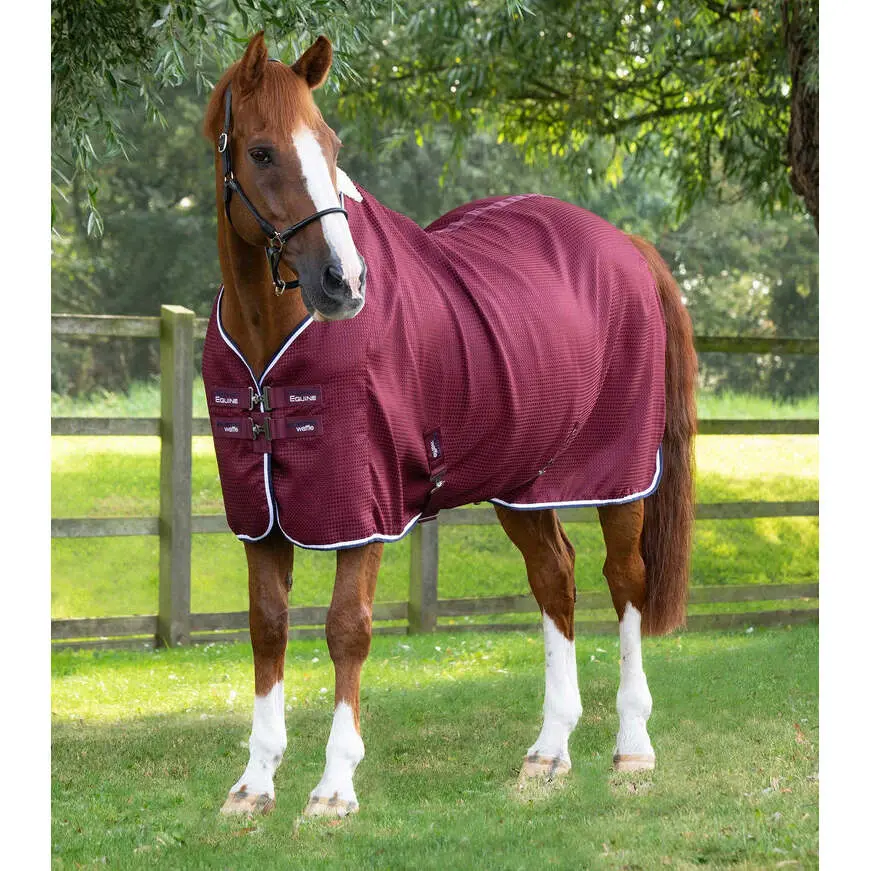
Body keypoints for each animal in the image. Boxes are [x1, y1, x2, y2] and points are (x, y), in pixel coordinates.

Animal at [202, 32, 697, 818]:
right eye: (261, 151)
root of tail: (625, 244)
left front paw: (334, 786)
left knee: (625, 582)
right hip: (523, 482)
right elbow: (267, 627)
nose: (344, 282)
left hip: (617, 477)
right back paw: (548, 751)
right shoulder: (262, 514)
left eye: (330, 143)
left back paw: (632, 745)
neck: (268, 344)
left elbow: (346, 629)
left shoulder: (360, 508)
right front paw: (254, 783)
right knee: (555, 578)